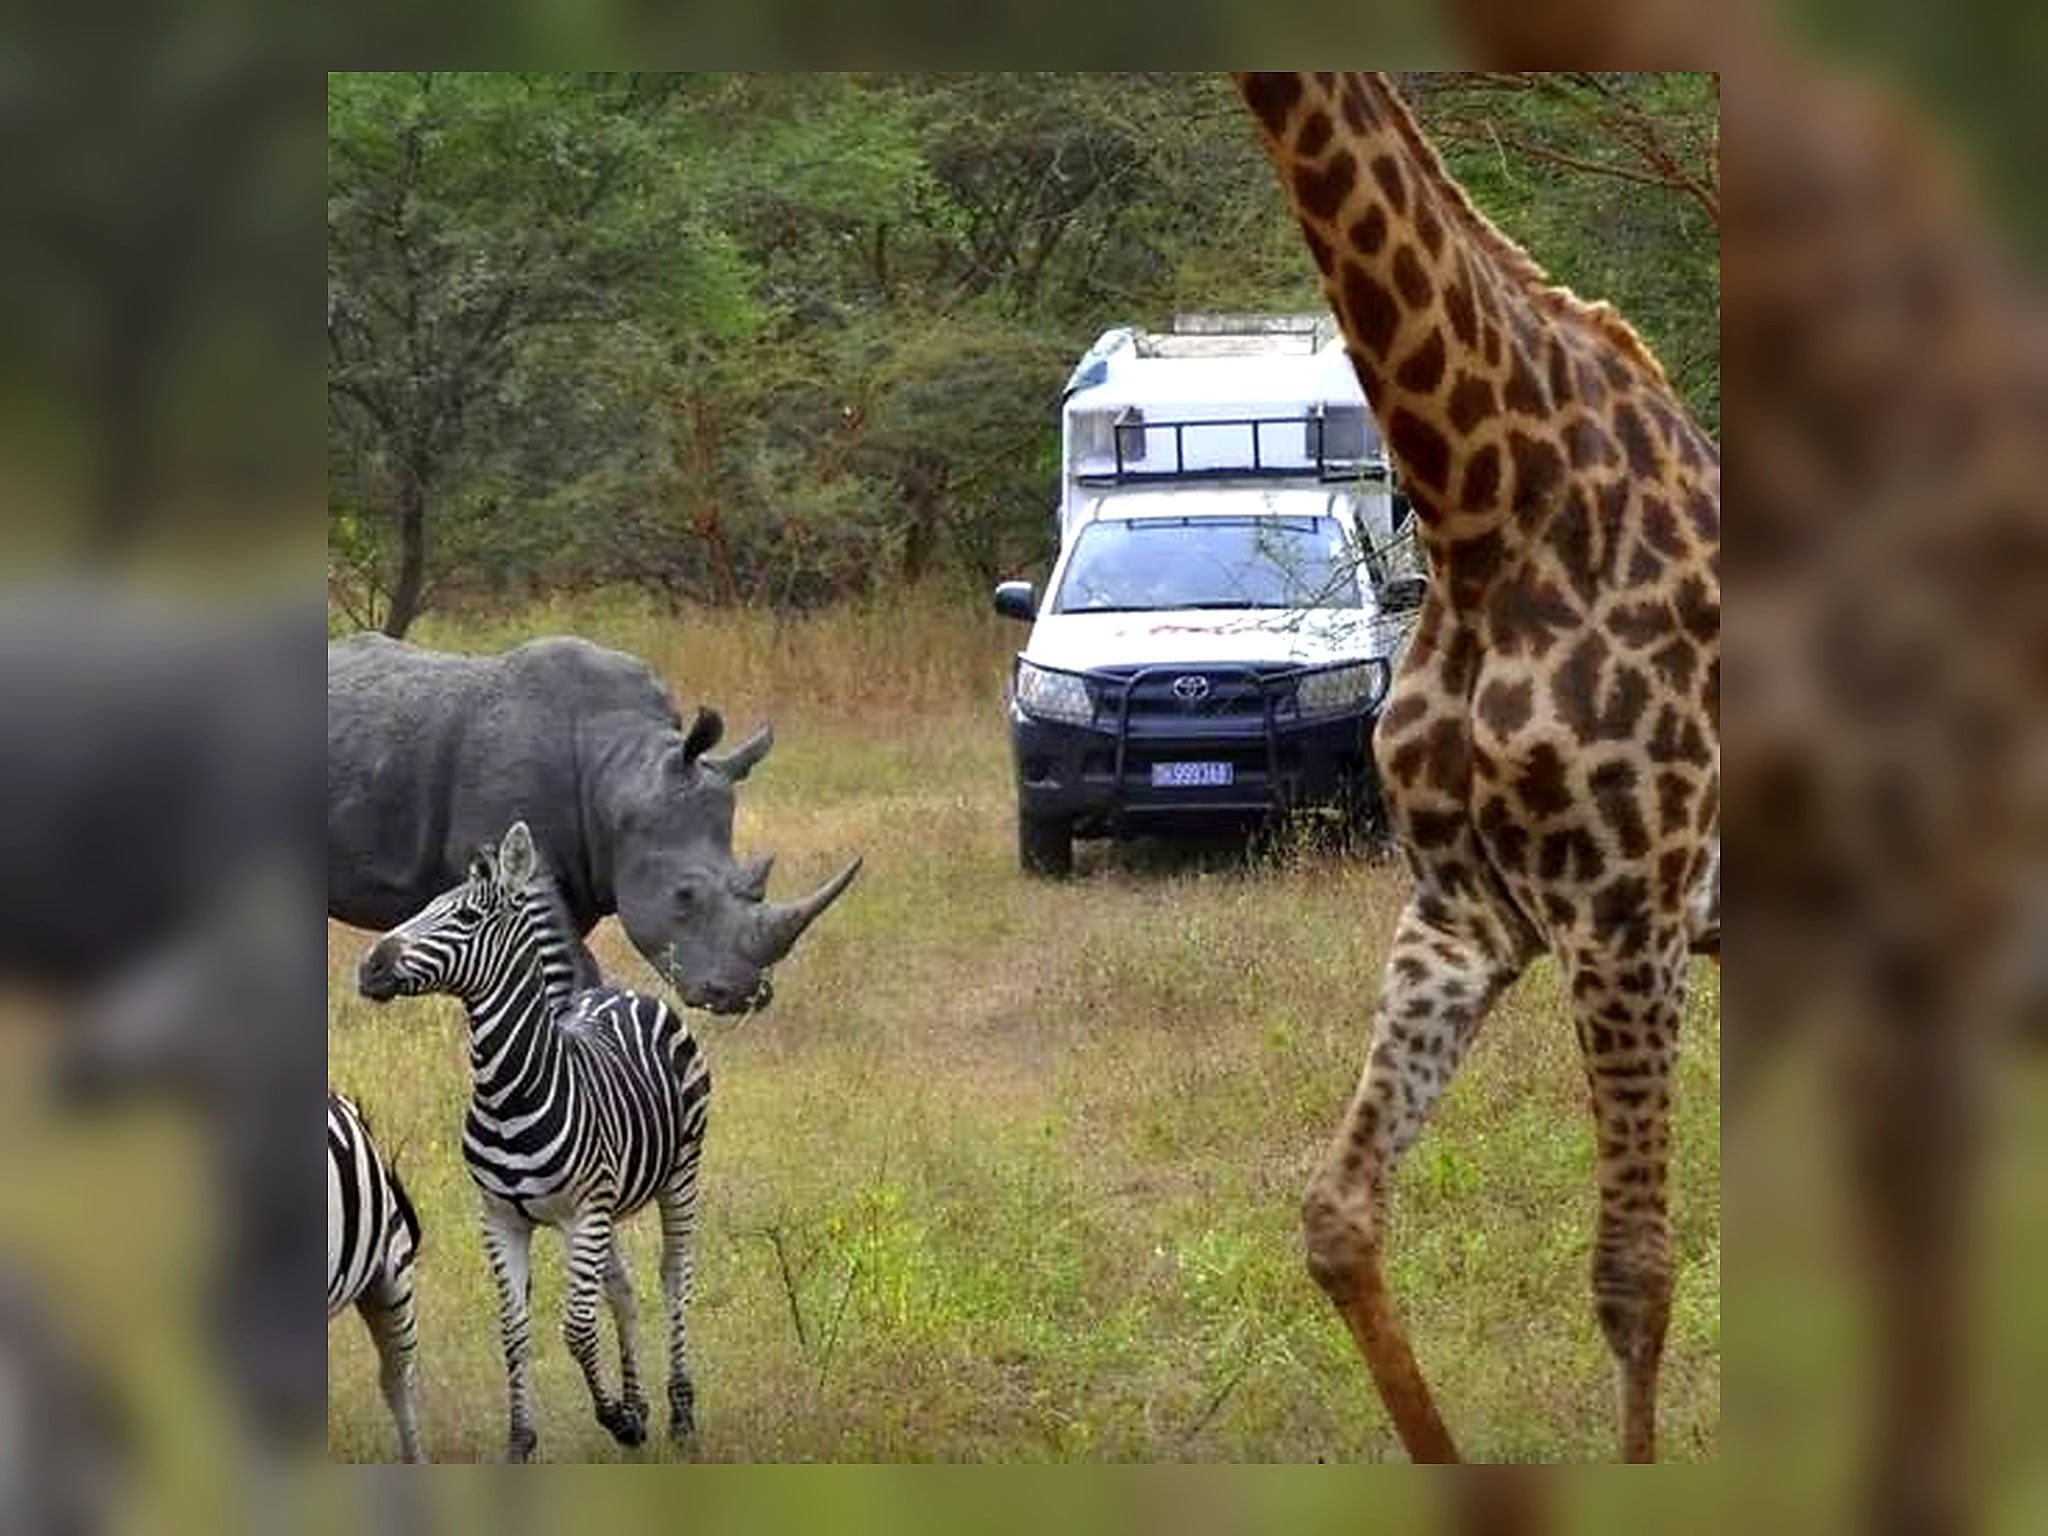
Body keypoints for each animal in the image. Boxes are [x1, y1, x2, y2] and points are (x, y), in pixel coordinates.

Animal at [356, 820, 710, 1462]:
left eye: (466, 917)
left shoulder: (580, 1213)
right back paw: (643, 1404)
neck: (509, 1093)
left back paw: (678, 1413)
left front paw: (616, 1419)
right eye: (424, 905)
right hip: (610, 1205)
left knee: (673, 1278)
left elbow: (575, 1329)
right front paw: (523, 1440)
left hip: (680, 1173)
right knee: (622, 1290)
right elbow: (515, 1332)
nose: (368, 966)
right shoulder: (500, 1218)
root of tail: (617, 992)